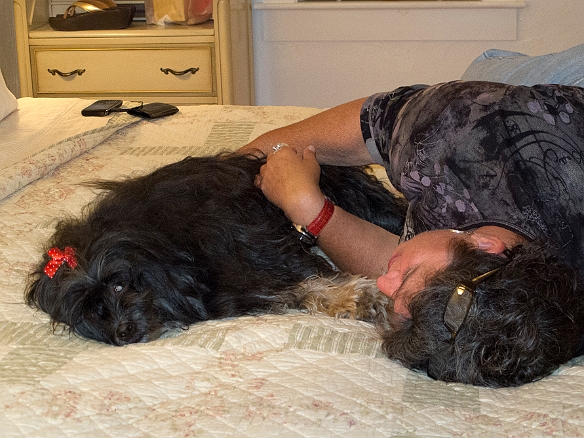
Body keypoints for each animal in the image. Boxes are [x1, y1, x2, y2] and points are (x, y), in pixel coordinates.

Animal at [24, 154, 406, 346]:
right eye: (90, 312)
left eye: (118, 285)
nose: (123, 333)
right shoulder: (238, 289)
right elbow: (299, 291)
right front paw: (358, 299)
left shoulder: (254, 246)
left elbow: (306, 280)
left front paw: (365, 297)